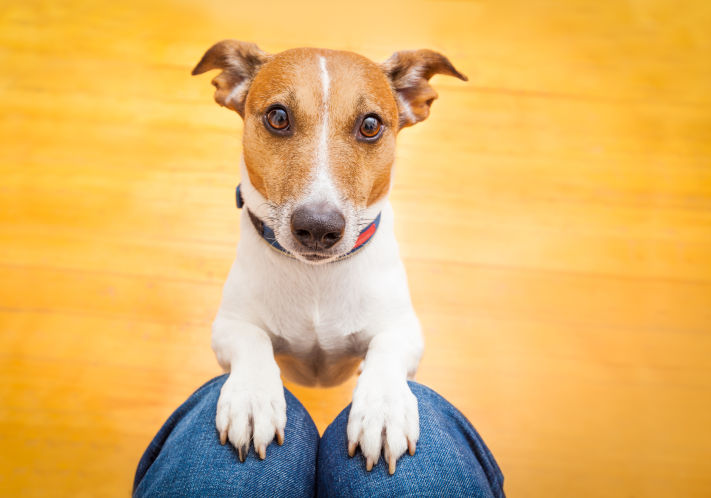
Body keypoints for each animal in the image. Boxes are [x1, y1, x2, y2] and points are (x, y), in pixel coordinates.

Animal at [192, 40, 468, 472]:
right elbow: (252, 341)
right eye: (278, 117)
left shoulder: (404, 329)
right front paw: (253, 398)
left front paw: (384, 409)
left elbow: (386, 352)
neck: (316, 278)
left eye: (370, 125)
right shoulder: (229, 326)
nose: (318, 227)